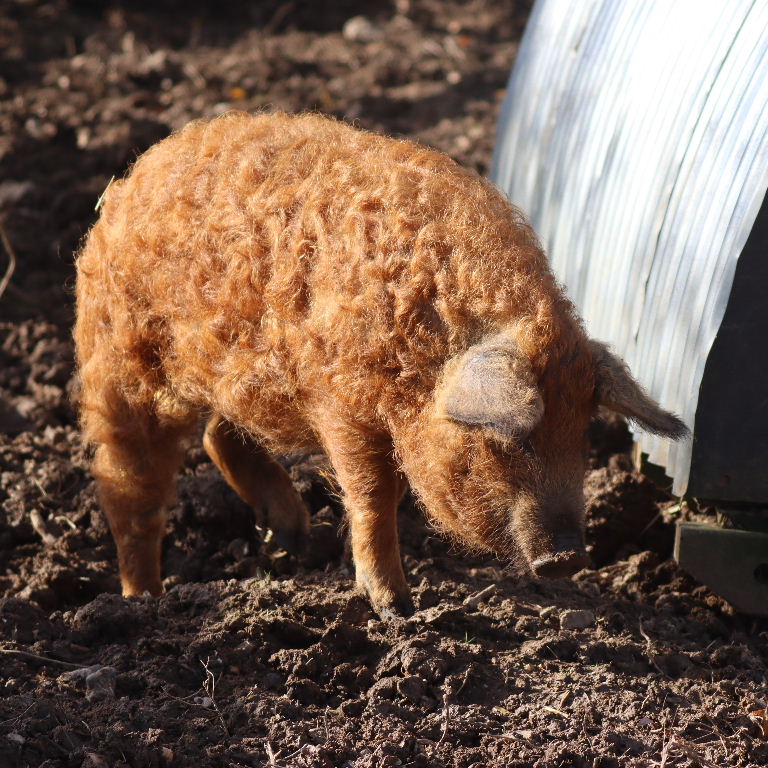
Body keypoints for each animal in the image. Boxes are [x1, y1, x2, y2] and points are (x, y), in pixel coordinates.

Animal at [74, 111, 688, 617]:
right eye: (512, 440)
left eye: (582, 435)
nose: (567, 559)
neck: (426, 348)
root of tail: (136, 175)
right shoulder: (341, 403)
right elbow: (373, 493)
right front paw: (396, 609)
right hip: (119, 361)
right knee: (128, 486)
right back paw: (141, 603)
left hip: (239, 373)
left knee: (218, 436)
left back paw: (294, 540)